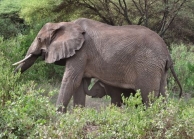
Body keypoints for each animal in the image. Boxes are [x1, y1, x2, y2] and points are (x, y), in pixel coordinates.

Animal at [12, 17, 183, 112]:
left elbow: (71, 81)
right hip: (159, 69)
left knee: (149, 96)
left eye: (39, 39)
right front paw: (78, 117)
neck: (65, 24)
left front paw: (57, 116)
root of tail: (167, 54)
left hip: (148, 66)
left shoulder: (81, 52)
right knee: (162, 94)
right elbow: (79, 84)